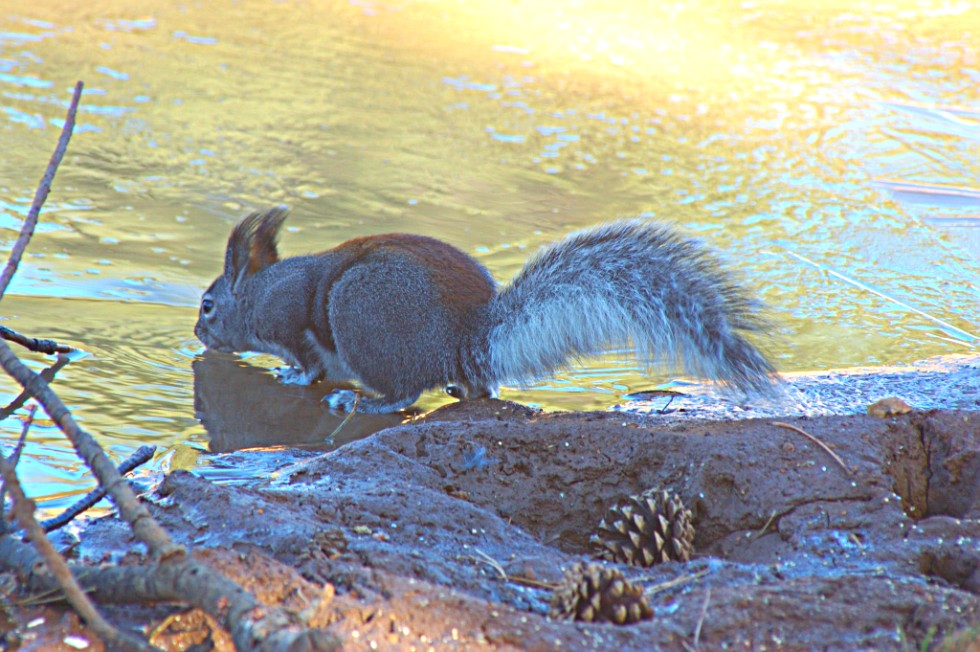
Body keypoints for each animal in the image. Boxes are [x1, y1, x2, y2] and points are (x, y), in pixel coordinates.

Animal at [194, 207, 778, 413]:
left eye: (207, 305)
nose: (198, 334)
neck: (257, 292)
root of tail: (464, 338)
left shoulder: (289, 314)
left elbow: (309, 358)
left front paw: (294, 376)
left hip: (358, 312)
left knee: (405, 391)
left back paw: (365, 402)